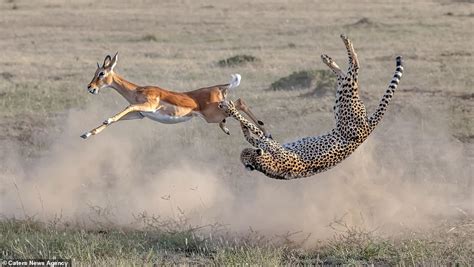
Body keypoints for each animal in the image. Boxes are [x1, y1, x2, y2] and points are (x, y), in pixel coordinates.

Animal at [219, 34, 404, 180]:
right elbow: (251, 132)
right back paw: (333, 56)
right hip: (343, 102)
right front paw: (235, 114)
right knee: (349, 74)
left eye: (245, 153)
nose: (247, 151)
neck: (265, 165)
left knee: (353, 70)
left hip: (345, 104)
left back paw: (341, 48)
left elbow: (252, 128)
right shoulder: (266, 142)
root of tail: (368, 127)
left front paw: (231, 109)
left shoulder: (268, 141)